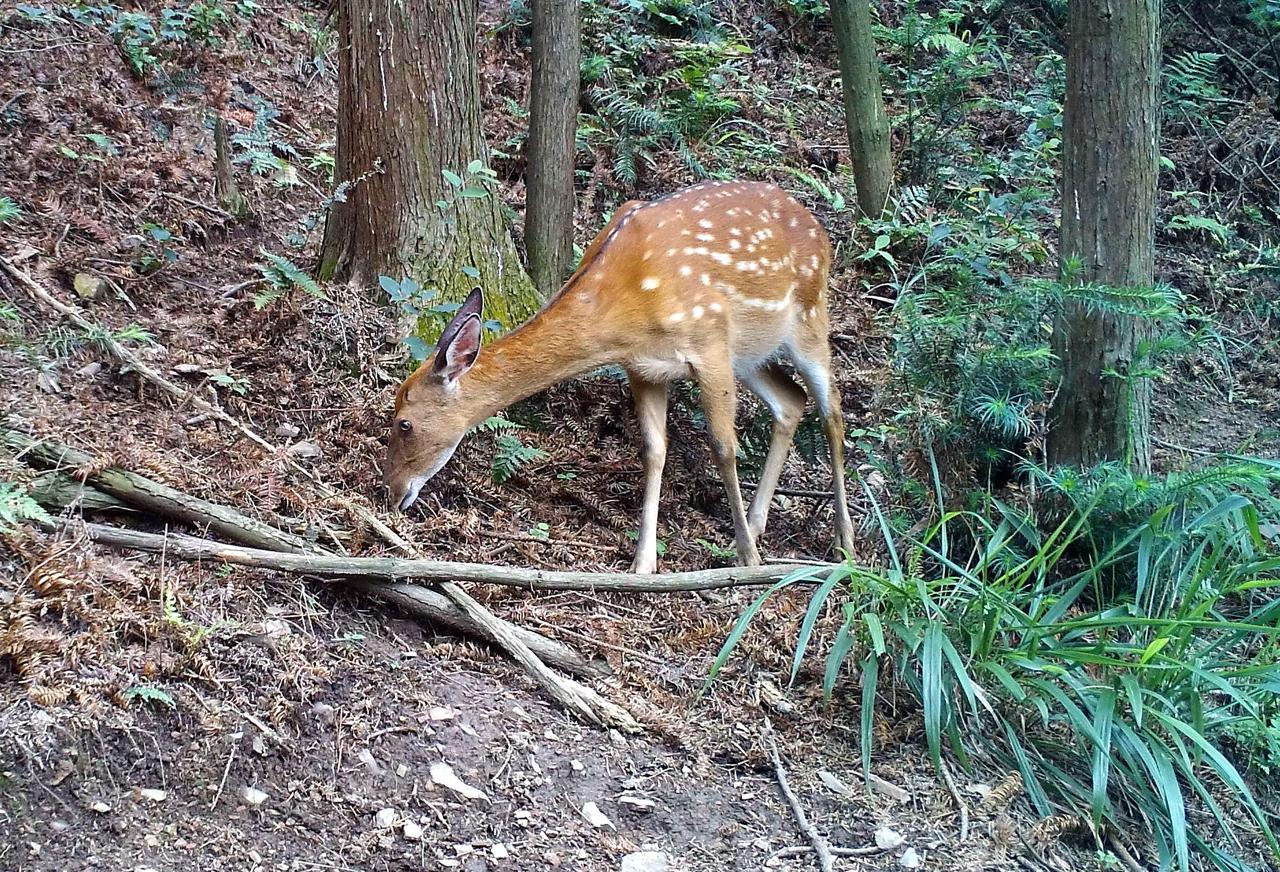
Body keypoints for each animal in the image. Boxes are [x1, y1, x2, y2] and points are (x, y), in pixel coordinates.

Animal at [384, 177, 855, 571]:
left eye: (403, 423)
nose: (391, 492)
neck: (625, 312)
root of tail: (819, 229)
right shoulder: (644, 369)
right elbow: (653, 451)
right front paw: (643, 564)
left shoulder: (709, 342)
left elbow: (724, 447)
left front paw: (747, 560)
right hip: (752, 353)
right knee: (791, 400)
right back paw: (760, 524)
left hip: (808, 317)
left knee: (832, 411)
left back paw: (843, 544)